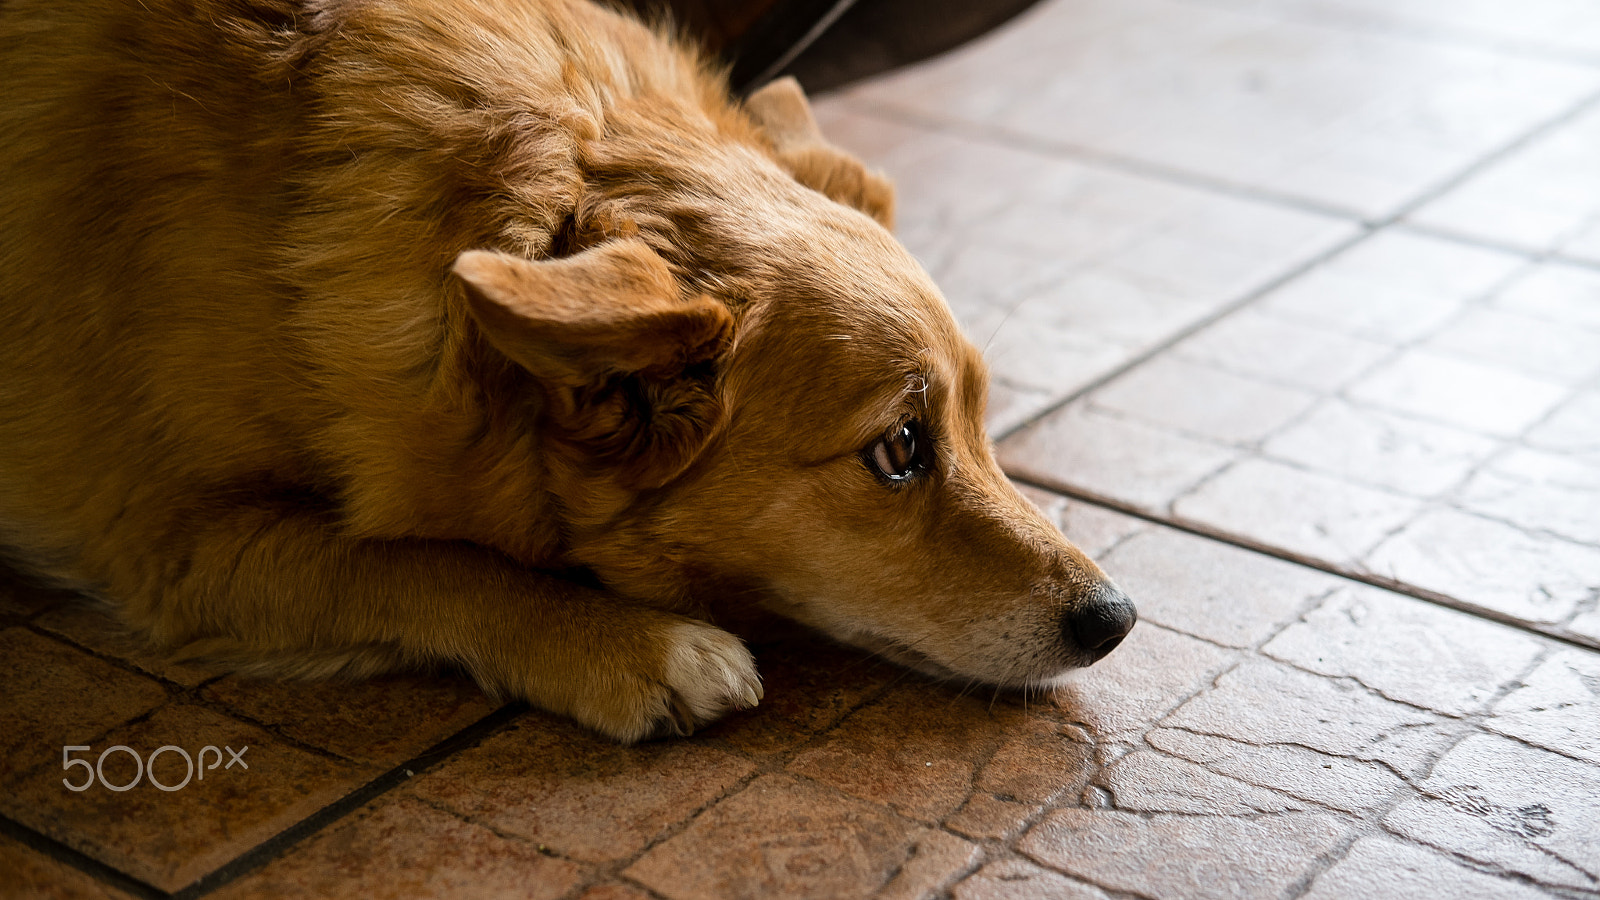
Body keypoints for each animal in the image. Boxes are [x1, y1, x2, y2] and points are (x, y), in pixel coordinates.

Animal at [0, 0, 1132, 739]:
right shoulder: (180, 540)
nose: (1115, 620)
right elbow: (417, 561)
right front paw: (628, 645)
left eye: (985, 420)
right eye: (899, 448)